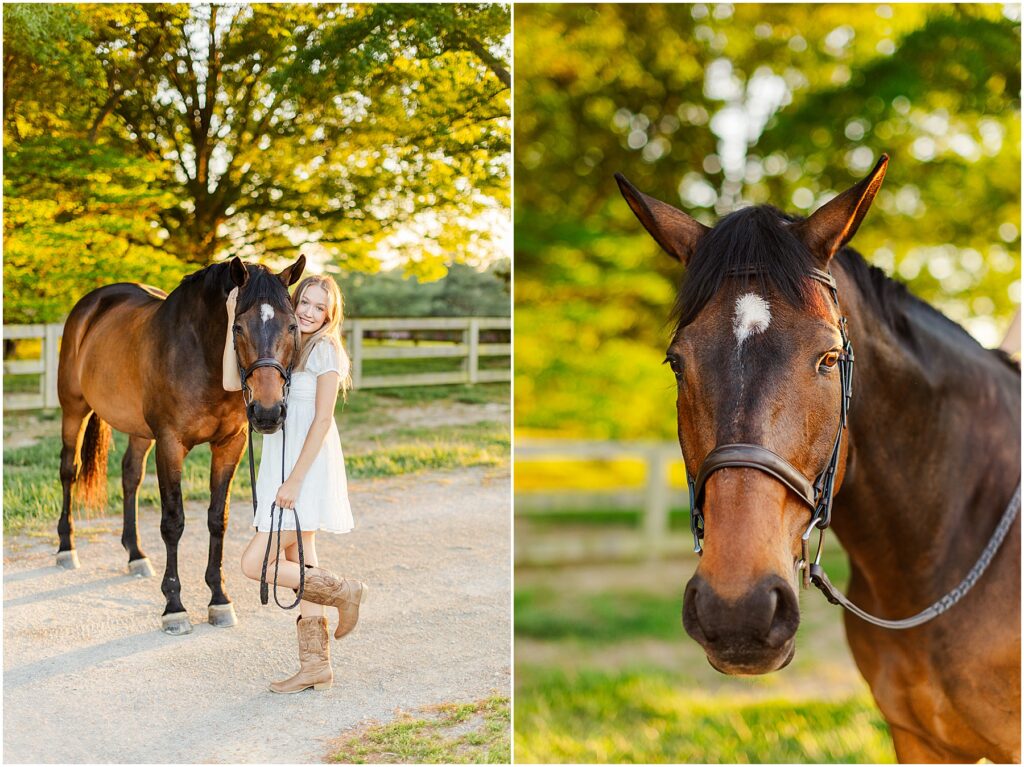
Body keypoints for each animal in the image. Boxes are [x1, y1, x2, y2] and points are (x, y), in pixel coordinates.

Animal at [56, 257, 303, 634]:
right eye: (238, 327)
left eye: (292, 326)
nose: (268, 412)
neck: (202, 354)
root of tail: (91, 304)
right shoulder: (170, 444)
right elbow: (173, 522)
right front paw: (174, 606)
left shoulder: (229, 444)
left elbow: (218, 518)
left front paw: (219, 599)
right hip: (74, 410)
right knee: (69, 470)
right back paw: (66, 548)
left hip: (140, 431)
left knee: (130, 475)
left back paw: (136, 555)